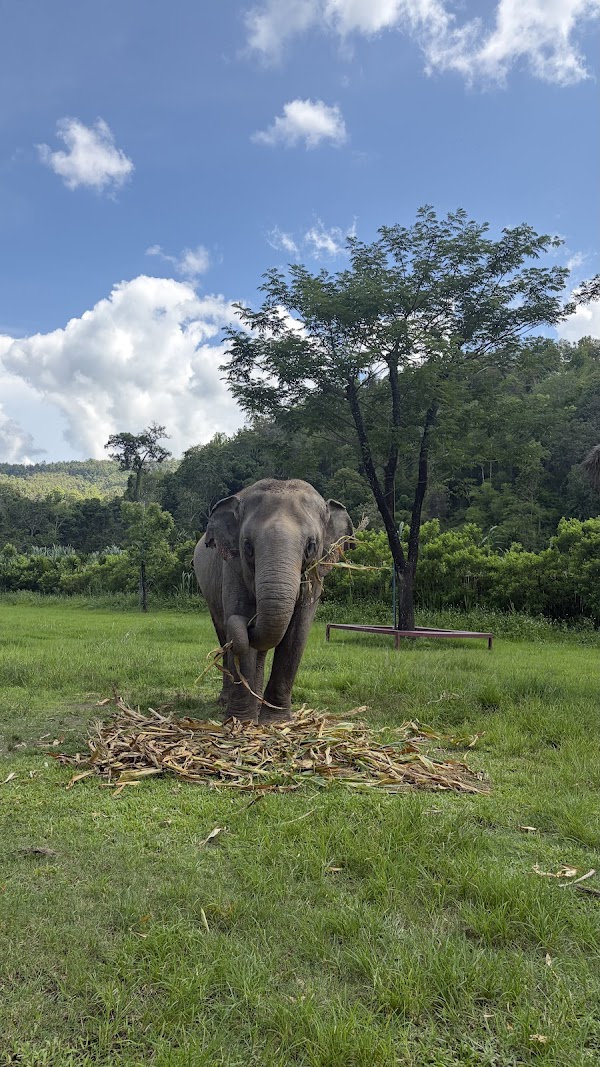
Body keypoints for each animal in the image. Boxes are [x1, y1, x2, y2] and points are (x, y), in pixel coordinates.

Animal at [193, 478, 353, 724]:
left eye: (311, 546)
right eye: (247, 546)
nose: (250, 624)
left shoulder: (315, 578)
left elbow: (297, 634)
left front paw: (275, 722)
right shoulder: (232, 570)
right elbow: (240, 629)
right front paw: (241, 721)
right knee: (223, 634)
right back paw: (226, 700)